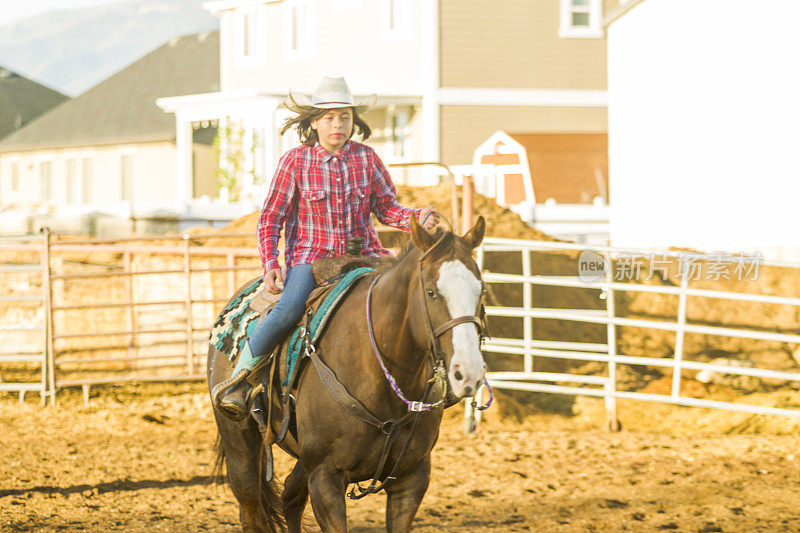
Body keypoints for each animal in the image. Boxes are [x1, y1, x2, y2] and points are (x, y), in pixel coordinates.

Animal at [208, 214, 488, 528]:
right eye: (431, 292)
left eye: (481, 290)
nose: (468, 371)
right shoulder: (325, 477)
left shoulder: (412, 478)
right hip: (240, 444)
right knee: (252, 508)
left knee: (290, 497)